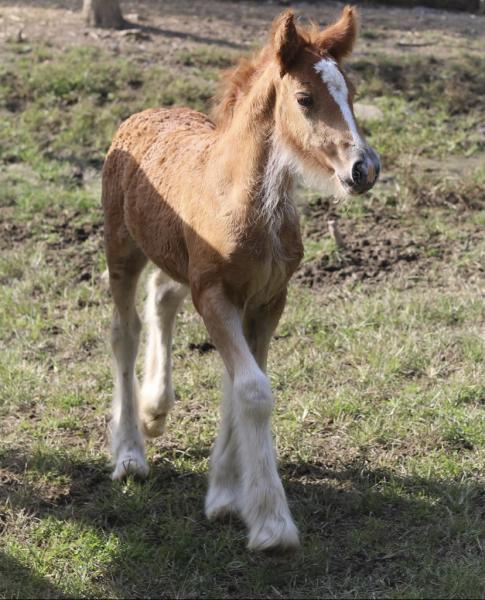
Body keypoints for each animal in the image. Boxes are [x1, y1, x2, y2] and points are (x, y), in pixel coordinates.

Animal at [102, 7, 378, 552]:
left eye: (352, 94)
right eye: (305, 98)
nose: (365, 169)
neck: (244, 199)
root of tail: (142, 113)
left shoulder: (269, 298)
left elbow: (241, 382)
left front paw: (227, 494)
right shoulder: (215, 295)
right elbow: (252, 390)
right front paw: (271, 522)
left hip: (178, 261)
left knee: (162, 295)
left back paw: (155, 408)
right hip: (120, 248)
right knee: (124, 332)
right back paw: (129, 453)